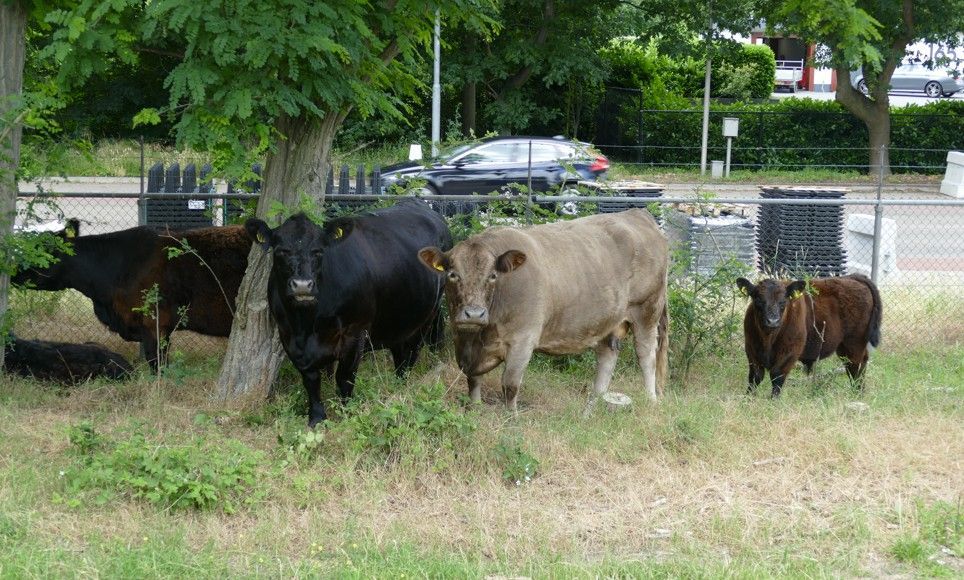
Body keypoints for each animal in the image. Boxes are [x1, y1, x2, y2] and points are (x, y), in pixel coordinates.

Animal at [245, 199, 453, 427]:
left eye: (319, 251)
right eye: (280, 251)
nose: (302, 285)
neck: (307, 324)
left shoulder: (355, 334)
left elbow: (344, 378)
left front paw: (346, 413)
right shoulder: (288, 336)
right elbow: (311, 379)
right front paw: (316, 417)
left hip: (426, 316)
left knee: (411, 353)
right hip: (398, 319)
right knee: (400, 353)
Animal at [417, 208, 669, 410]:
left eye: (492, 276)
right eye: (452, 274)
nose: (474, 314)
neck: (479, 336)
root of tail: (637, 213)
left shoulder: (523, 339)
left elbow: (510, 385)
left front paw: (511, 420)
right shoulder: (463, 343)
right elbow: (472, 380)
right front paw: (475, 410)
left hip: (647, 310)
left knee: (646, 355)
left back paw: (651, 401)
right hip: (608, 319)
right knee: (607, 359)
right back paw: (590, 409)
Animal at [735, 274, 883, 397]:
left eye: (783, 301)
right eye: (758, 299)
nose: (772, 321)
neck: (767, 338)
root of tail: (852, 278)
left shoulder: (790, 351)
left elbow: (777, 375)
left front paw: (773, 400)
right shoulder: (751, 349)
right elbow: (755, 376)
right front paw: (748, 398)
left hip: (854, 344)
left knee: (856, 367)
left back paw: (858, 393)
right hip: (844, 347)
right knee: (855, 365)